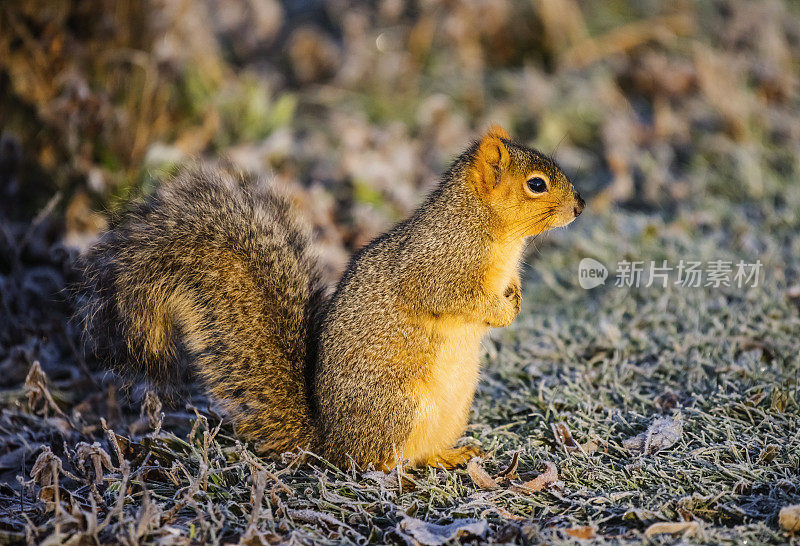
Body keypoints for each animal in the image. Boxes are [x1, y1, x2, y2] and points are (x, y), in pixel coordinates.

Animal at [78, 124, 584, 468]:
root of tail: (329, 443)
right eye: (536, 184)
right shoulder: (438, 267)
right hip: (401, 407)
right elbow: (453, 298)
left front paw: (516, 300)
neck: (490, 229)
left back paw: (450, 455)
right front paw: (501, 311)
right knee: (381, 463)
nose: (580, 207)